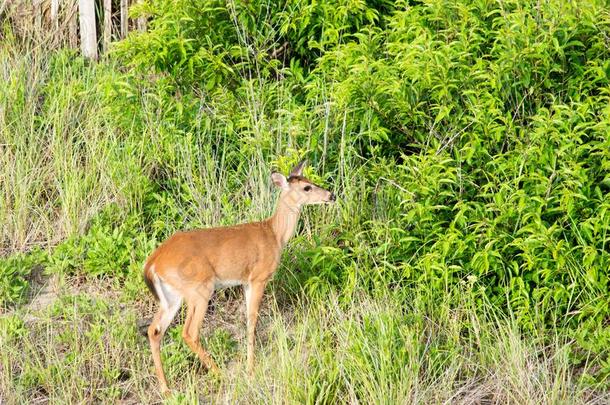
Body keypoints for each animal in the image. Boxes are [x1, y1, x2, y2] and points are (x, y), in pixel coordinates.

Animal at [142, 159, 334, 392]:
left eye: (310, 181)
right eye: (306, 187)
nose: (331, 195)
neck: (274, 234)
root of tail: (153, 262)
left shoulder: (245, 282)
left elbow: (248, 320)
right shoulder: (258, 278)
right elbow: (252, 321)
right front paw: (251, 369)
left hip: (172, 297)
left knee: (154, 330)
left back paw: (166, 388)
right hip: (199, 289)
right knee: (189, 332)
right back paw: (219, 374)